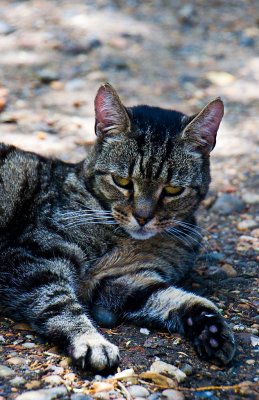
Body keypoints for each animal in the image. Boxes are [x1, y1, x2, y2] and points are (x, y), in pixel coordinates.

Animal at [0, 83, 236, 372]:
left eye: (172, 190)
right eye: (122, 181)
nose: (143, 217)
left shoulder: (122, 282)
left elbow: (177, 297)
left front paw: (212, 328)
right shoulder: (32, 258)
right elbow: (59, 302)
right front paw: (90, 341)